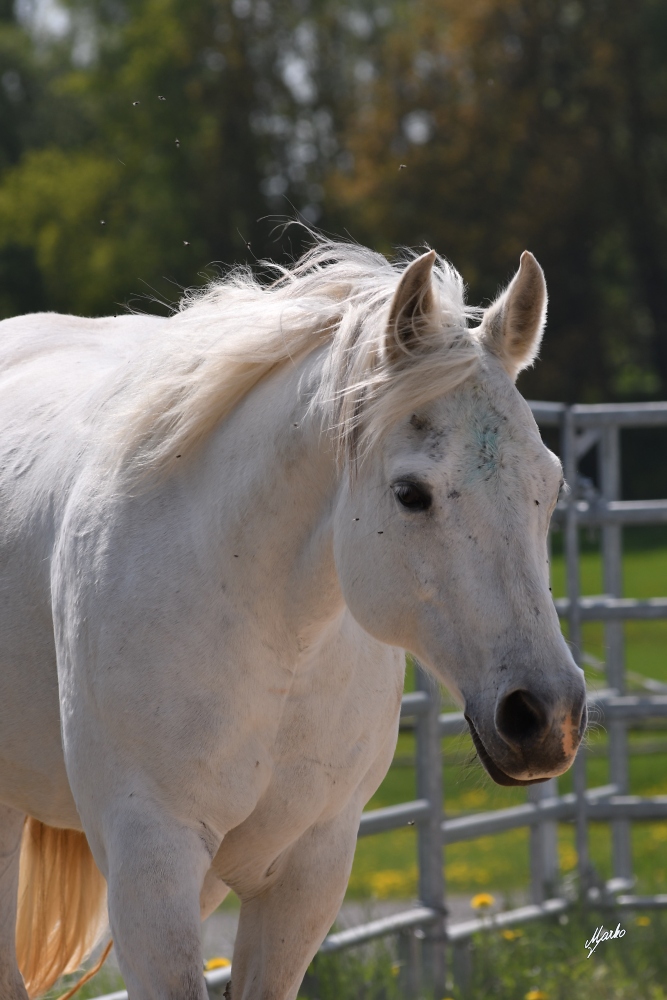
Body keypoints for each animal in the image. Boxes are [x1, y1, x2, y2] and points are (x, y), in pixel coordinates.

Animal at [0, 242, 584, 1000]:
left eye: (551, 485)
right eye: (410, 493)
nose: (546, 717)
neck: (277, 634)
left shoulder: (309, 868)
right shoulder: (149, 860)